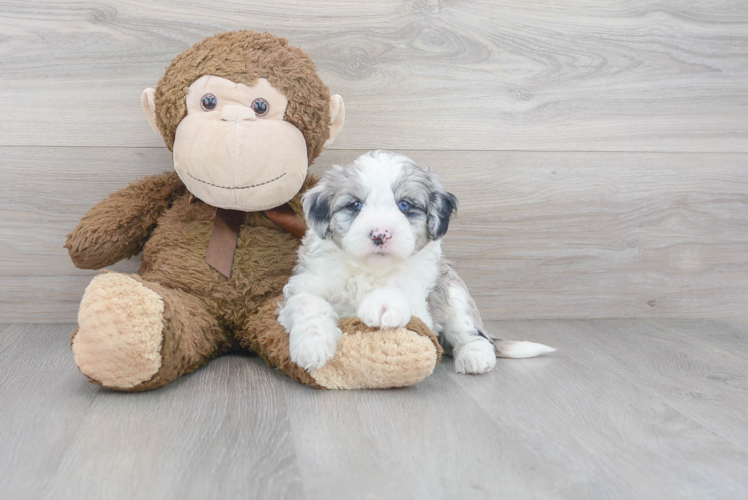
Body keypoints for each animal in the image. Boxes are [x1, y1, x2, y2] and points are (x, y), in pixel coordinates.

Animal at [278, 150, 552, 374]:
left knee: (474, 335)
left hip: (454, 293)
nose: (380, 234)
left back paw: (475, 357)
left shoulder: (421, 304)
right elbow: (308, 303)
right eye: (355, 205)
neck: (371, 270)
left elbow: (401, 297)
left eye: (404, 205)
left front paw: (383, 306)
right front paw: (312, 345)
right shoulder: (305, 283)